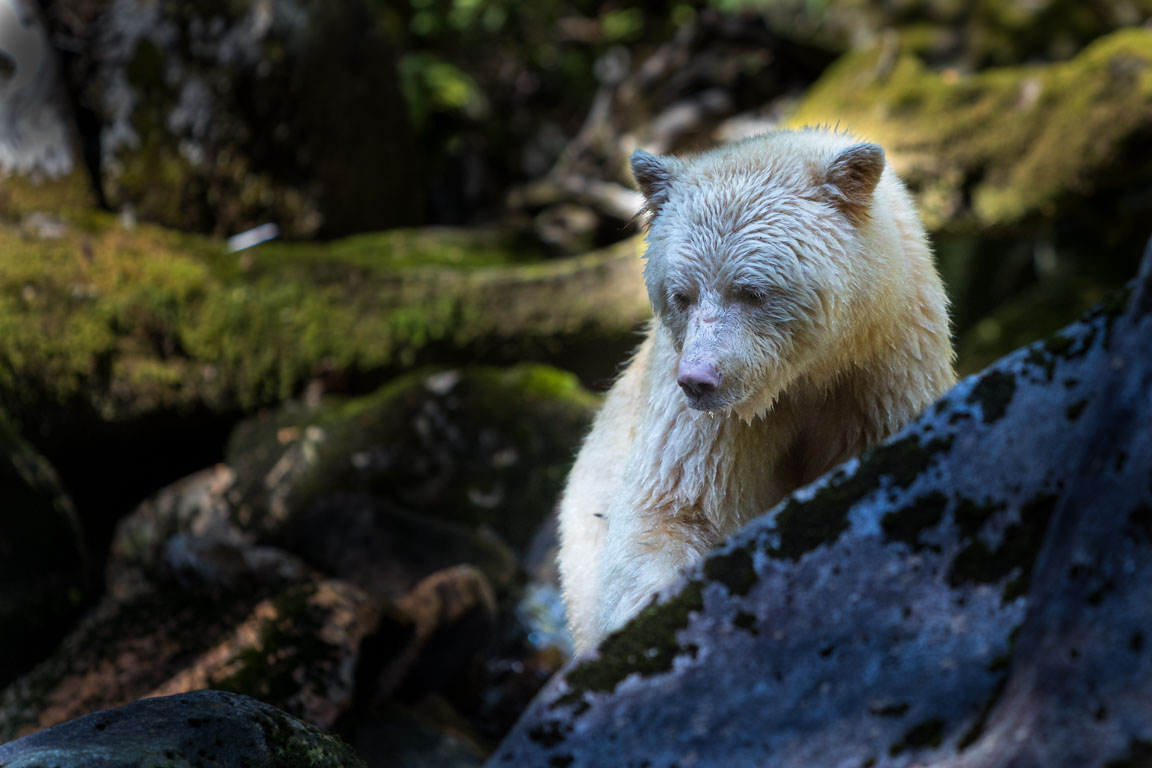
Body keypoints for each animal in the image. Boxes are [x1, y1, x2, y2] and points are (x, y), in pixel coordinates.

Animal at [557, 127, 953, 654]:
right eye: (681, 294)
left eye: (751, 291)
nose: (699, 379)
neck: (806, 376)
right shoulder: (702, 420)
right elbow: (673, 509)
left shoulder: (881, 376)